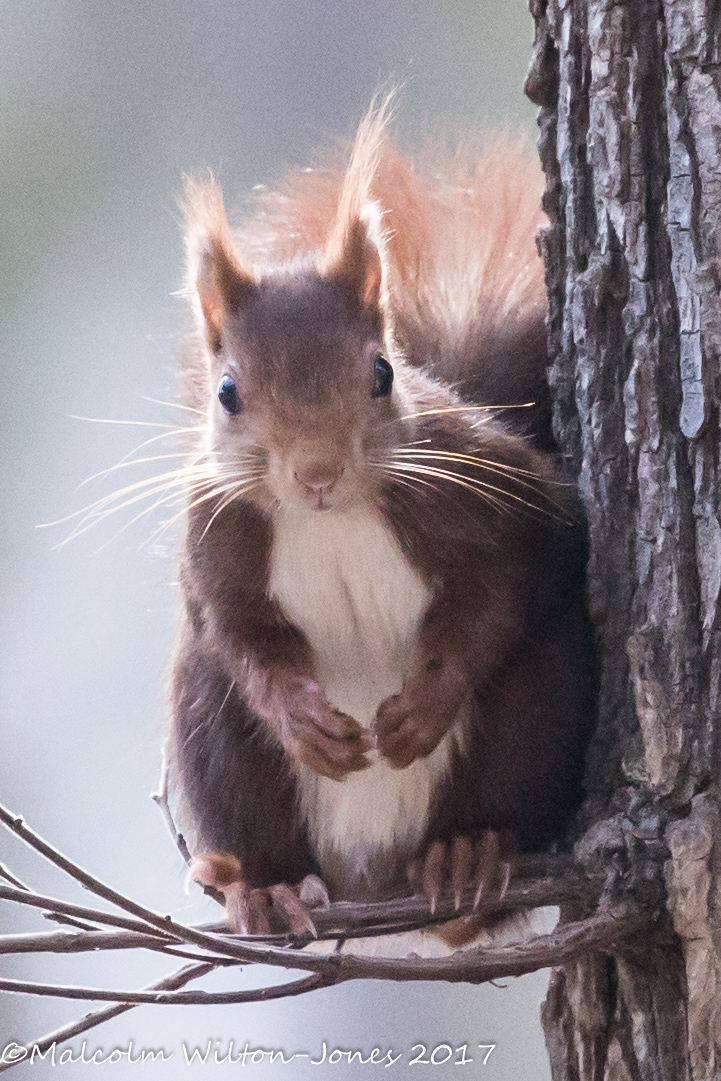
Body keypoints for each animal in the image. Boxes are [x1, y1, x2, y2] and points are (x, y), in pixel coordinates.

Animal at [166, 101, 596, 938]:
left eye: (381, 372)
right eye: (227, 391)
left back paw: (466, 857)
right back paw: (268, 888)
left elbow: (524, 568)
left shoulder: (484, 486)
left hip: (540, 701)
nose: (318, 473)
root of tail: (372, 875)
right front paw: (299, 716)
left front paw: (424, 702)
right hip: (215, 737)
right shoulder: (215, 535)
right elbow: (235, 633)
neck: (330, 520)